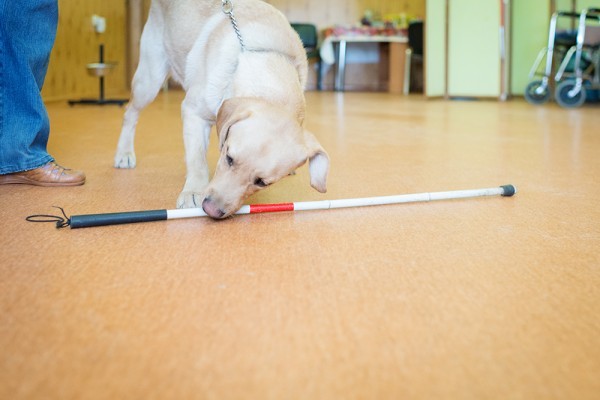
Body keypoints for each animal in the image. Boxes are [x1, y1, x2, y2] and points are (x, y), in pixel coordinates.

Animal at [114, 0, 329, 219]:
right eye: (228, 158)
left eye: (261, 182)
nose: (211, 209)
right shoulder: (193, 113)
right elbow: (197, 160)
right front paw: (193, 191)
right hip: (149, 80)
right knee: (130, 114)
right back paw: (124, 153)